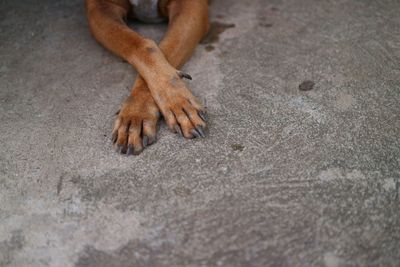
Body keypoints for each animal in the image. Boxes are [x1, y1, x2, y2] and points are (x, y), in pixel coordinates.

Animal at [84, 0, 209, 156]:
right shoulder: (100, 8)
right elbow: (138, 44)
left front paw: (178, 101)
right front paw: (135, 114)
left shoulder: (191, 6)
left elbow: (165, 49)